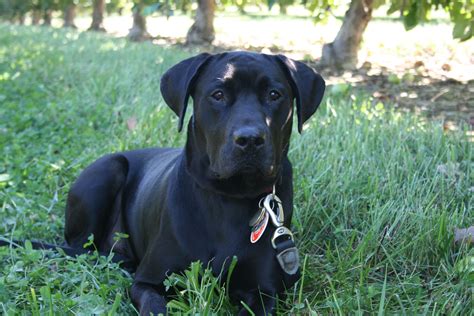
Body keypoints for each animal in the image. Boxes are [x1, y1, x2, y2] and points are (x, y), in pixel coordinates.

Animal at [64, 51, 326, 314]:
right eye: (218, 95)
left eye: (274, 94)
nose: (250, 139)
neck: (231, 196)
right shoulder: (148, 281)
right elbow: (154, 305)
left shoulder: (265, 291)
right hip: (109, 169)